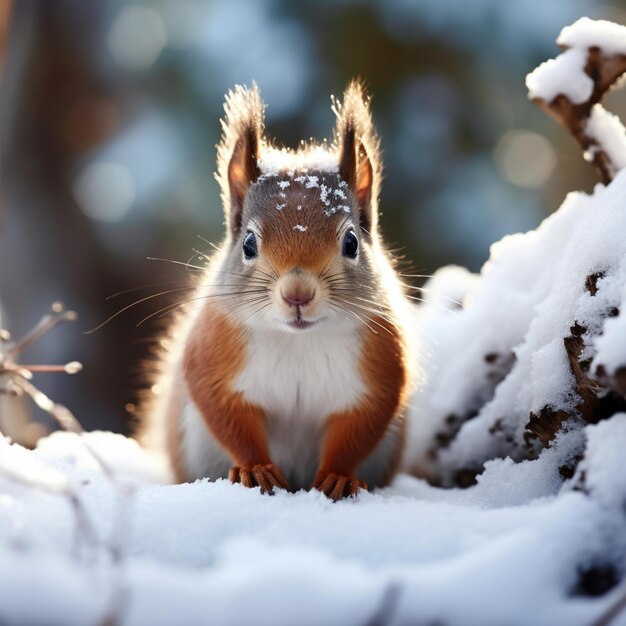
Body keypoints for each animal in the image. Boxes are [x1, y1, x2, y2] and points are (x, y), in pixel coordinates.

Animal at [139, 80, 416, 500]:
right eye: (249, 243)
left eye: (352, 242)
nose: (297, 294)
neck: (298, 340)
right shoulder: (214, 355)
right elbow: (226, 414)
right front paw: (256, 469)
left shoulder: (378, 368)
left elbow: (359, 428)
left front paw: (338, 476)